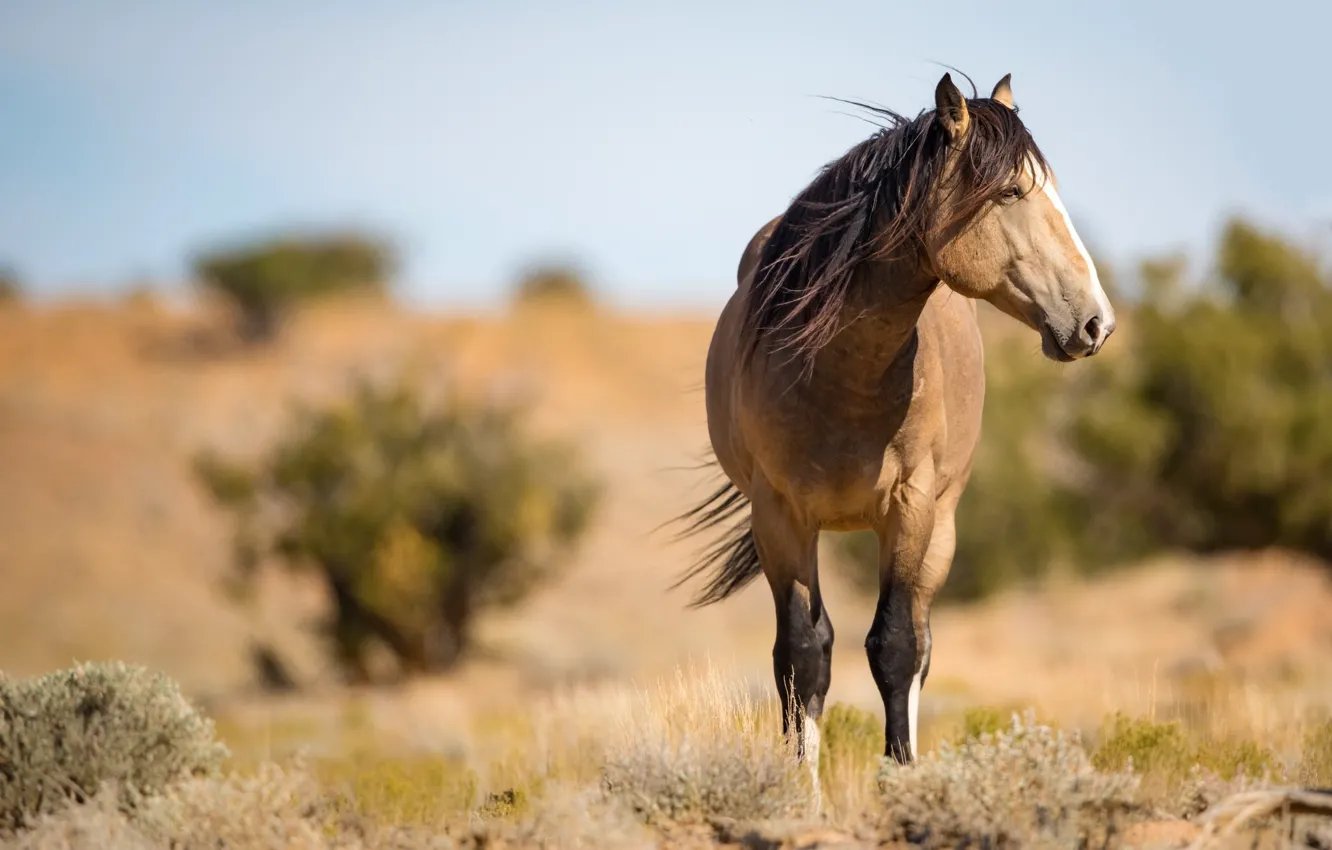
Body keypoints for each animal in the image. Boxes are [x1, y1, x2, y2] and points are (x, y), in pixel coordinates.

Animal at [673, 72, 1116, 777]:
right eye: (1011, 192)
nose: (1096, 321)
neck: (842, 370)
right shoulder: (781, 517)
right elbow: (803, 654)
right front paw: (801, 785)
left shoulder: (911, 507)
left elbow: (896, 648)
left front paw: (901, 779)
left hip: (942, 531)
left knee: (921, 646)